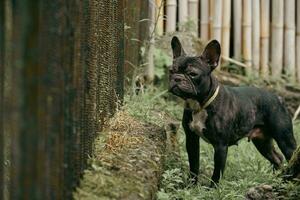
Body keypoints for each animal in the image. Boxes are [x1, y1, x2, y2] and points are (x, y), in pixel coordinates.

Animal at [169, 36, 298, 186]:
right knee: (277, 157)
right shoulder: (191, 139)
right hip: (262, 142)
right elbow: (194, 164)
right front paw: (191, 185)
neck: (200, 105)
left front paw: (212, 188)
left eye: (192, 74)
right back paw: (277, 178)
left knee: (291, 155)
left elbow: (217, 171)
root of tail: (278, 98)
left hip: (284, 139)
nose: (177, 78)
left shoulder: (220, 146)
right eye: (171, 71)